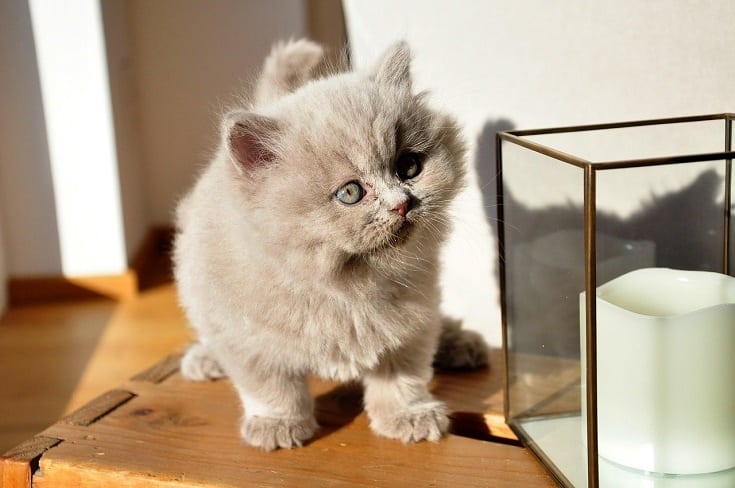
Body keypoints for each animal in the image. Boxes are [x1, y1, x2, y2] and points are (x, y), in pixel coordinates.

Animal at [172, 38, 488, 450]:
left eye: (409, 167)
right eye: (350, 193)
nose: (402, 204)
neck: (345, 288)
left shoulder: (410, 323)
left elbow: (403, 376)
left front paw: (408, 415)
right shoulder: (245, 336)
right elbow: (271, 386)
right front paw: (277, 424)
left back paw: (460, 343)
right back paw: (205, 358)